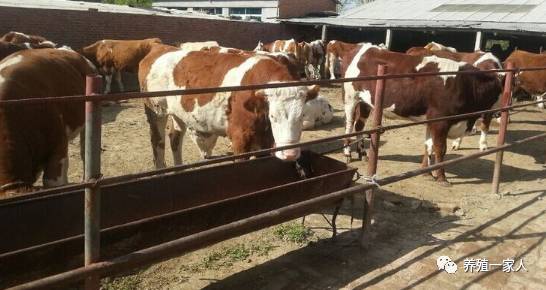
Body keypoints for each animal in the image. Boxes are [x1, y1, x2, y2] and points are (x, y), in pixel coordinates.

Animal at [139, 44, 318, 169]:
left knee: (175, 137)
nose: (290, 154)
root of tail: (159, 48)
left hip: (179, 114)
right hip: (156, 111)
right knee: (157, 142)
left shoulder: (265, 139)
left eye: (302, 115)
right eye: (273, 116)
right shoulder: (240, 136)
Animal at [342, 44, 500, 185]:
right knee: (349, 125)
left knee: (359, 125)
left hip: (365, 102)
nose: (499, 112)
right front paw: (442, 178)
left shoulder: (431, 121)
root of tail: (363, 46)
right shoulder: (440, 121)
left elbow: (428, 146)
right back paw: (347, 152)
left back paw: (362, 154)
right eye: (498, 92)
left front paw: (427, 173)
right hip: (350, 97)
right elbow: (440, 149)